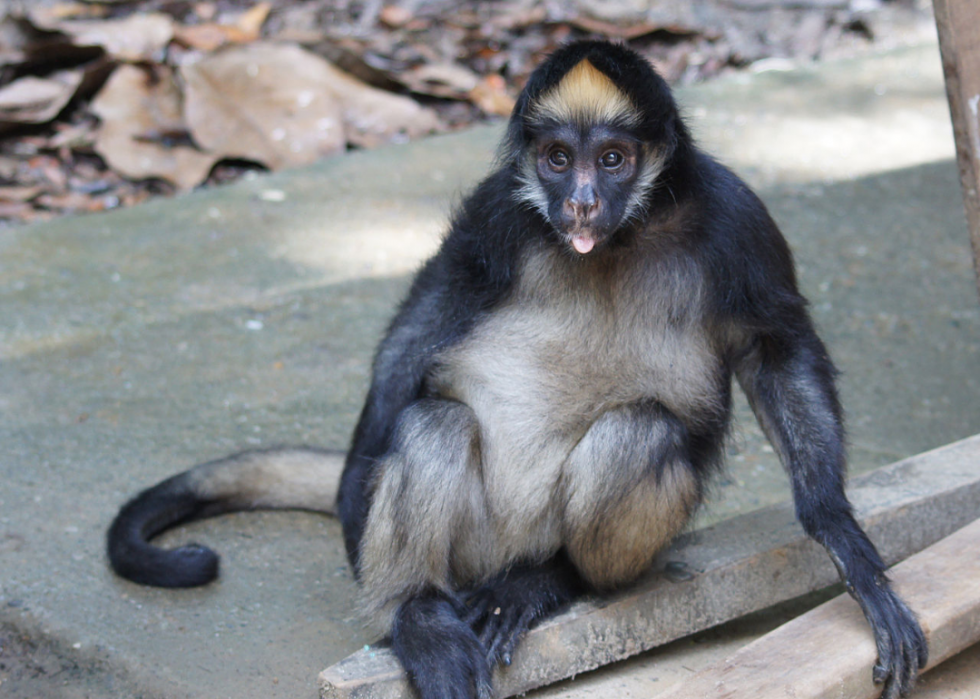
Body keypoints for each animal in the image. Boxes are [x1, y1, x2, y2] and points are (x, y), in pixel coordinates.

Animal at [107, 39, 928, 699]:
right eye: (558, 158)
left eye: (613, 158)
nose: (581, 201)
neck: (617, 238)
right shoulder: (497, 211)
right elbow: (432, 308)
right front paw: (351, 492)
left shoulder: (736, 215)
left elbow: (774, 348)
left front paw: (844, 539)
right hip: (471, 542)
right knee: (434, 419)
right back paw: (420, 613)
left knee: (638, 431)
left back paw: (549, 580)